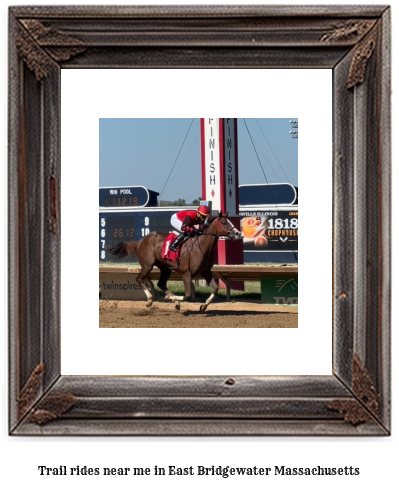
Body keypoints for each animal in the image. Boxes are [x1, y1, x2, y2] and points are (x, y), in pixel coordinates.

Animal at [108, 211, 242, 312]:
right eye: (224, 222)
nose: (238, 233)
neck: (202, 247)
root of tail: (141, 241)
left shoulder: (206, 272)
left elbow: (215, 289)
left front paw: (203, 306)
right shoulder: (186, 273)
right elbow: (188, 295)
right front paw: (170, 298)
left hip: (165, 268)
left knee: (161, 284)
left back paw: (173, 300)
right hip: (147, 265)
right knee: (139, 279)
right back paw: (151, 300)